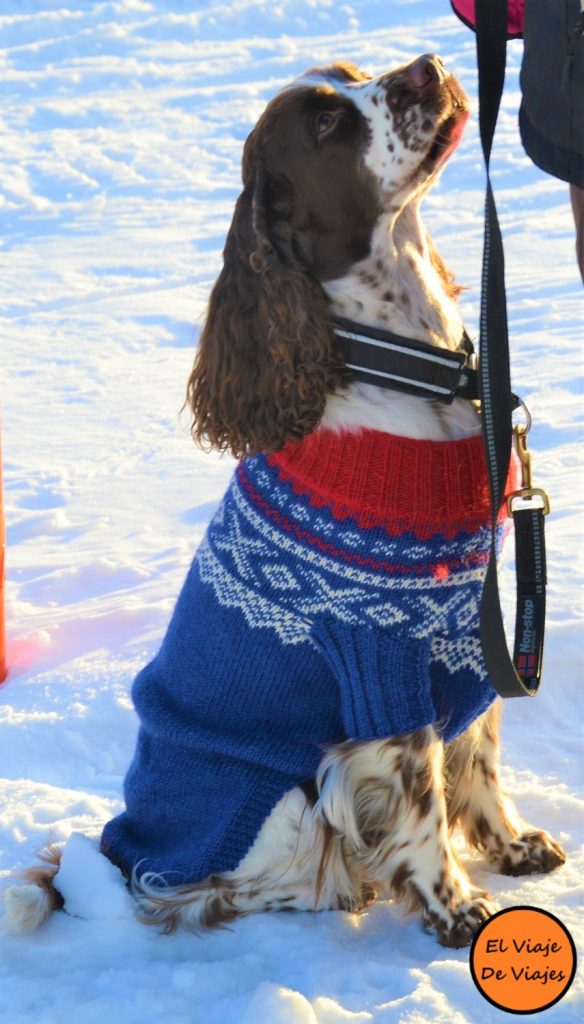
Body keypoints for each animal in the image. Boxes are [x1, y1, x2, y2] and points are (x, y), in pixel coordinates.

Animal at [4, 58, 565, 950]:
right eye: (327, 124)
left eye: (354, 76)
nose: (430, 67)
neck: (413, 369)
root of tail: (120, 846)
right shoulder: (377, 657)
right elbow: (421, 795)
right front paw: (457, 909)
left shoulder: (465, 631)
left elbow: (476, 753)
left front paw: (511, 846)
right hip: (278, 806)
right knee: (213, 891)